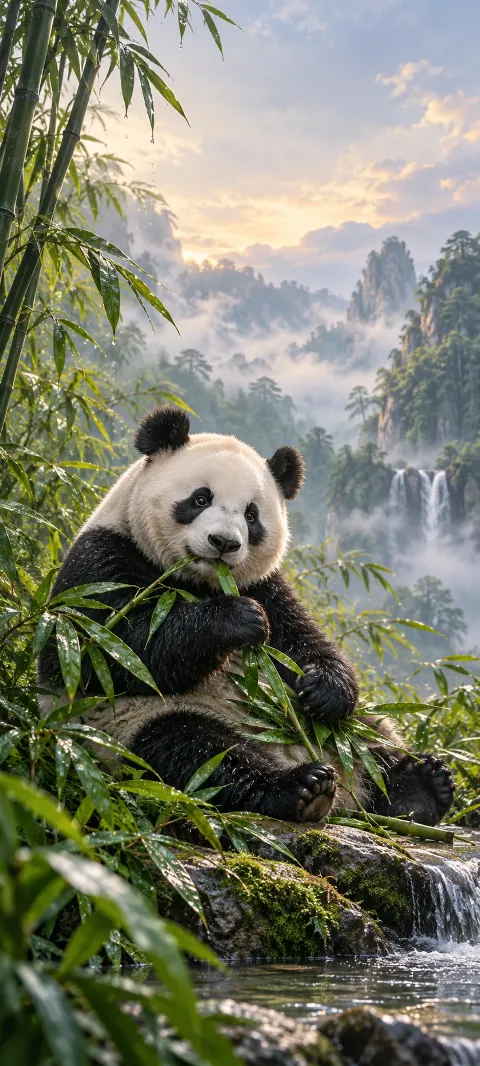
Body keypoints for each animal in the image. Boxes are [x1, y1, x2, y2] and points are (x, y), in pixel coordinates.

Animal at [38, 406, 454, 826]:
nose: (224, 543)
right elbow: (112, 649)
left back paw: (420, 787)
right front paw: (235, 622)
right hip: (128, 730)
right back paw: (303, 788)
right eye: (200, 498)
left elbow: (302, 639)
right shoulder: (103, 560)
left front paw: (325, 689)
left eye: (251, 515)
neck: (202, 582)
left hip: (353, 736)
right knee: (195, 753)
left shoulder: (265, 585)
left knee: (368, 737)